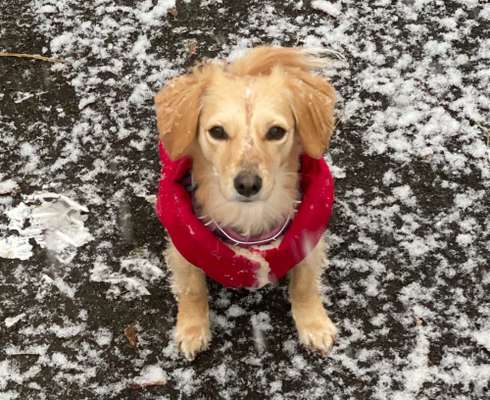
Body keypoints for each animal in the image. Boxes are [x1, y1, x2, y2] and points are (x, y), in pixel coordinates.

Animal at [153, 47, 336, 360]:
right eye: (217, 131)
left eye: (276, 131)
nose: (248, 184)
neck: (249, 219)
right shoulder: (182, 245)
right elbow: (192, 290)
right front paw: (192, 329)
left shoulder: (309, 238)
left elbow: (304, 285)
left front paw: (313, 324)